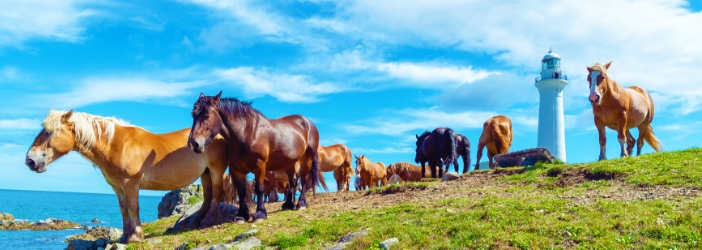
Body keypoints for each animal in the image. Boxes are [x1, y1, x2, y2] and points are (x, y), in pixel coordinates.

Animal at [25, 110, 231, 243]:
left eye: (49, 132)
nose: (30, 160)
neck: (116, 145)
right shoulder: (117, 187)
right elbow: (124, 210)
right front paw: (125, 236)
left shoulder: (130, 184)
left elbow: (133, 208)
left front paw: (135, 237)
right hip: (205, 173)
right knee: (208, 197)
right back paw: (196, 223)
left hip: (216, 170)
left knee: (217, 194)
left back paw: (208, 222)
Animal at [186, 93, 320, 224]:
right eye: (193, 115)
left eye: (207, 115)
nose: (194, 144)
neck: (247, 134)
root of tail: (308, 122)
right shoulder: (236, 169)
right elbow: (242, 191)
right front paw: (241, 215)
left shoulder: (259, 166)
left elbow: (259, 189)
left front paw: (260, 214)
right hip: (289, 162)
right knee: (293, 181)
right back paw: (288, 204)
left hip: (307, 158)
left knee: (304, 179)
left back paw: (301, 203)